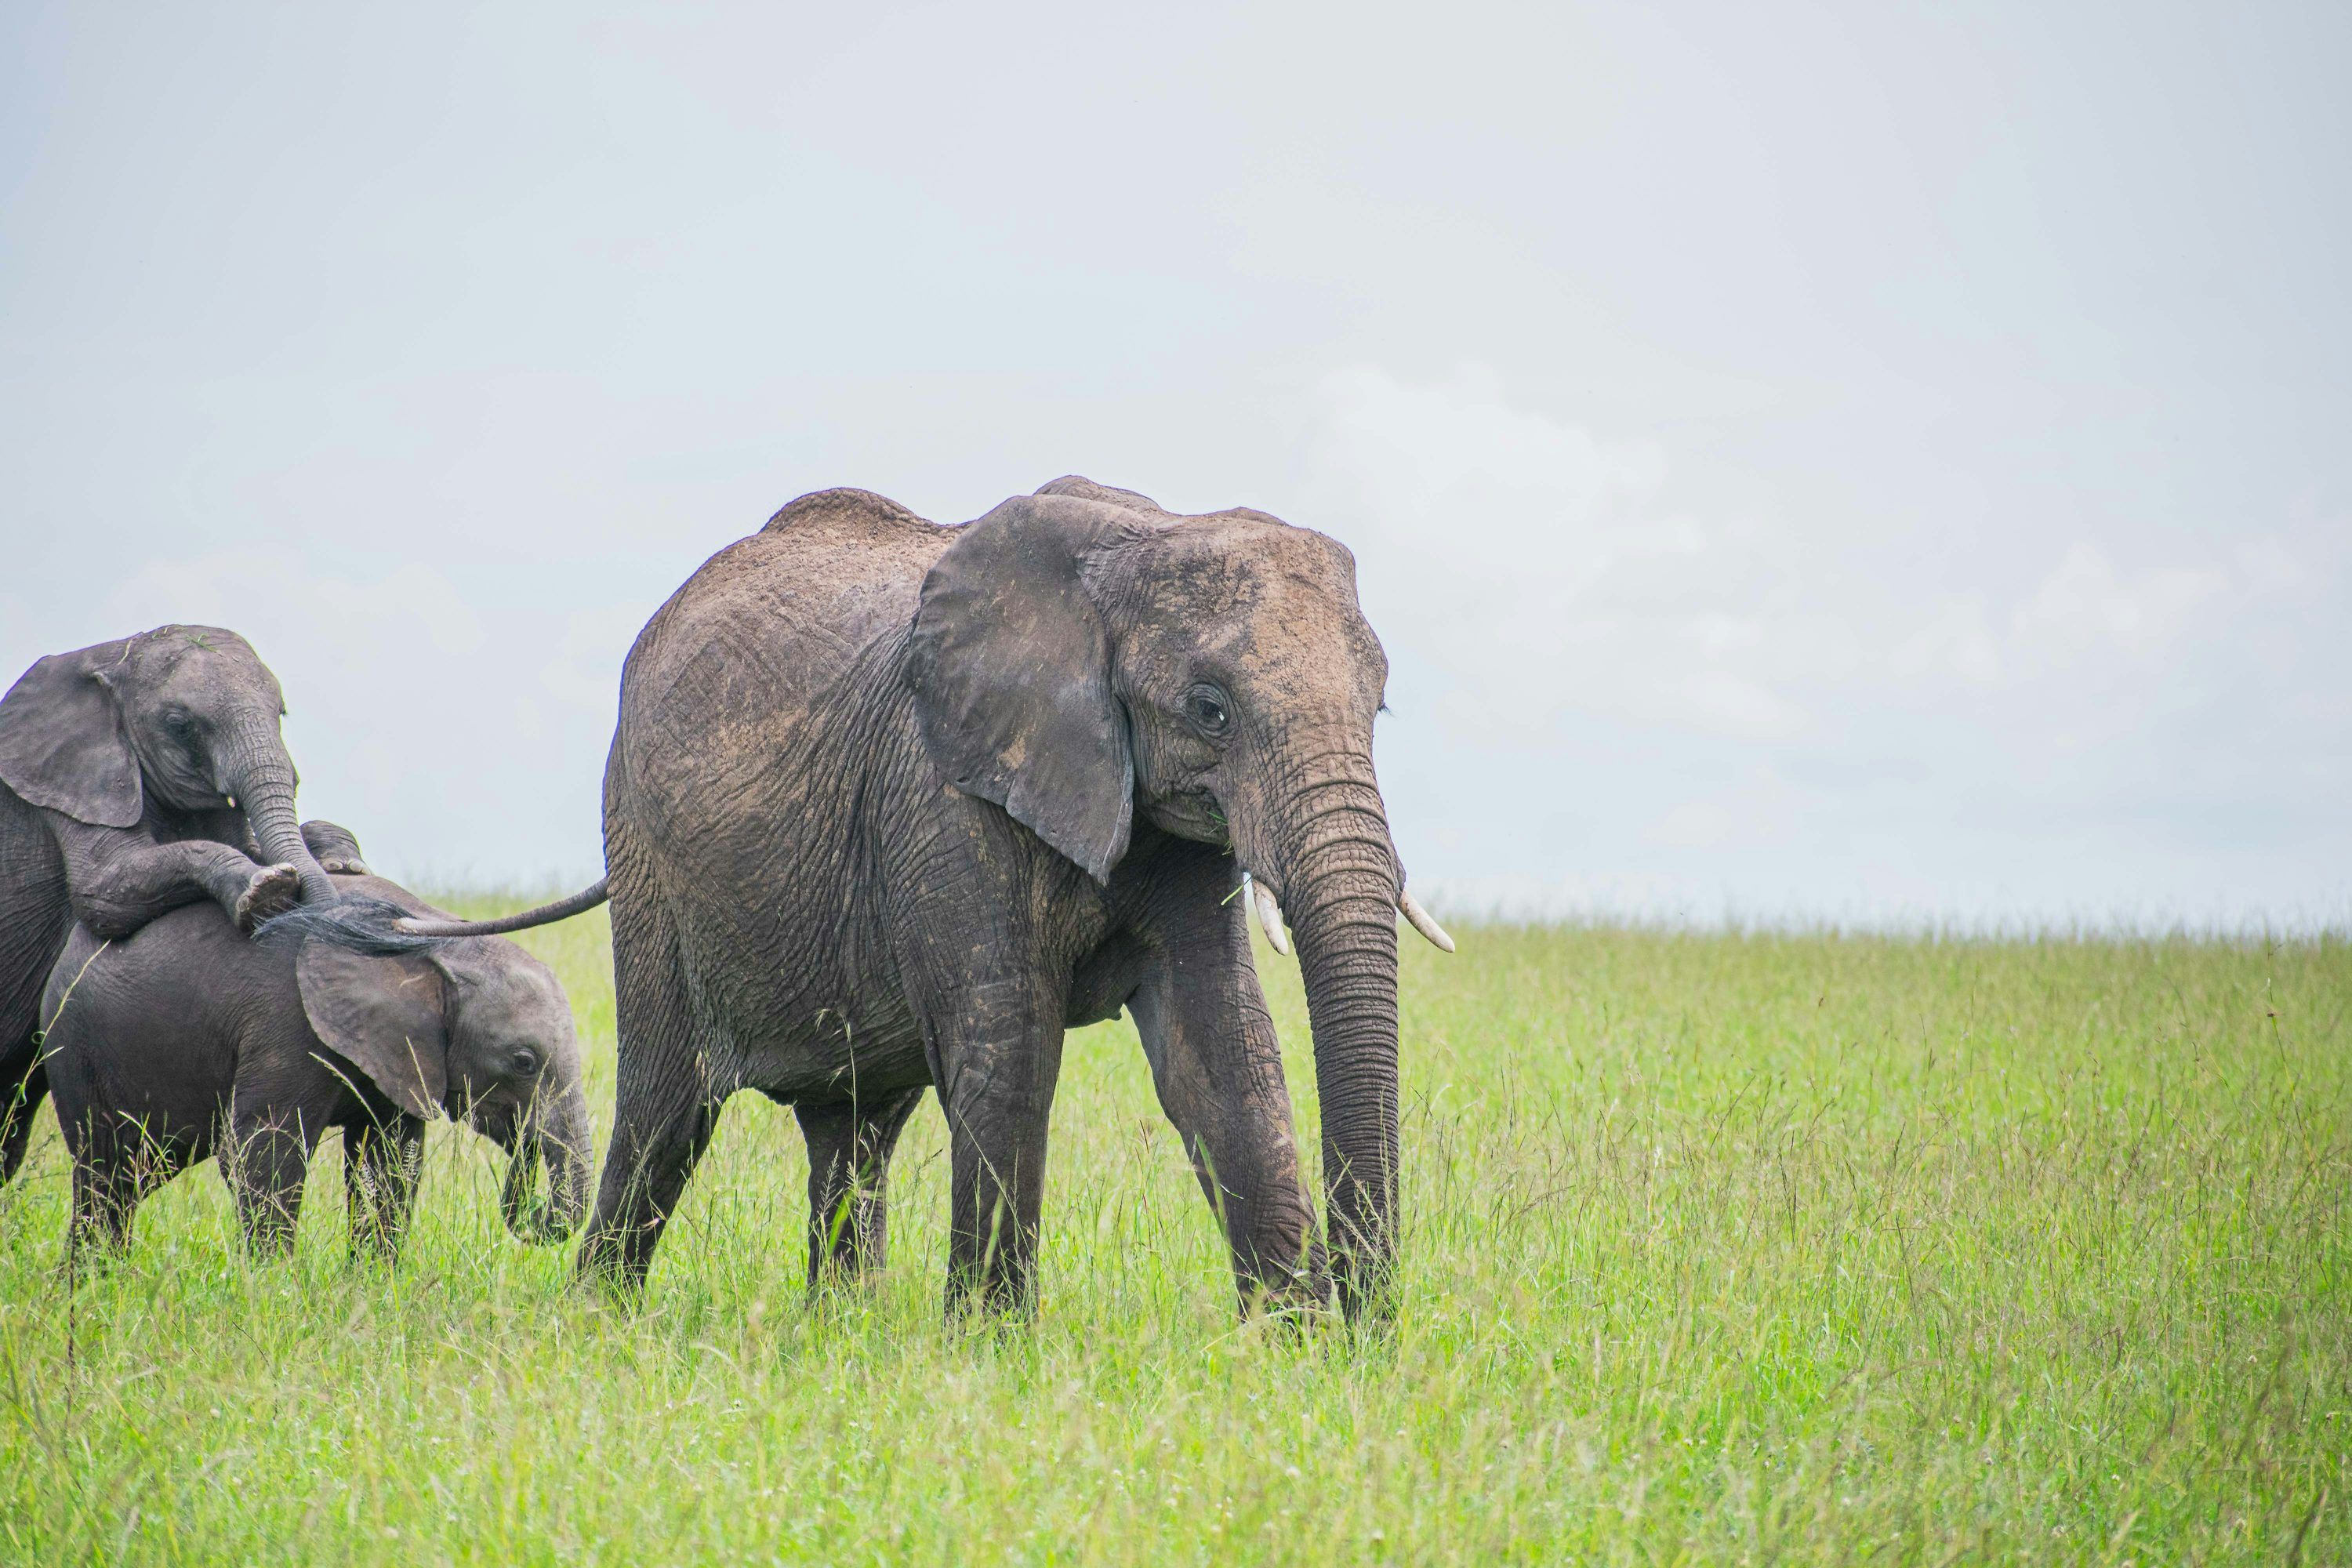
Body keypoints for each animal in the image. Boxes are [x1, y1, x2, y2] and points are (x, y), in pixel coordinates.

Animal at [0, 626, 355, 1180]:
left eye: (281, 712)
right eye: (180, 726)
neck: (114, 657)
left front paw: (340, 860)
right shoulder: (70, 784)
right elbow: (105, 889)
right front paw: (266, 890)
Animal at [37, 871, 591, 1263]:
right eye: (524, 1062)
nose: (534, 1200)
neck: (434, 942)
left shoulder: (400, 1057)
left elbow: (390, 1164)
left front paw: (372, 1287)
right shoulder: (286, 1025)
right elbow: (263, 1157)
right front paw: (273, 1295)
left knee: (124, 1182)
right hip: (74, 1044)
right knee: (104, 1174)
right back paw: (92, 1290)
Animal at [335, 477, 1451, 1319]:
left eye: (1381, 705)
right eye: (1211, 709)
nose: (1366, 1313)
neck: (1144, 532)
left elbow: (1223, 1051)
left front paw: (1288, 1349)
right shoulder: (942, 786)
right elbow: (1010, 1045)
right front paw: (993, 1351)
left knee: (855, 1125)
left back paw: (841, 1325)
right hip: (648, 853)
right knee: (667, 1110)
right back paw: (597, 1314)